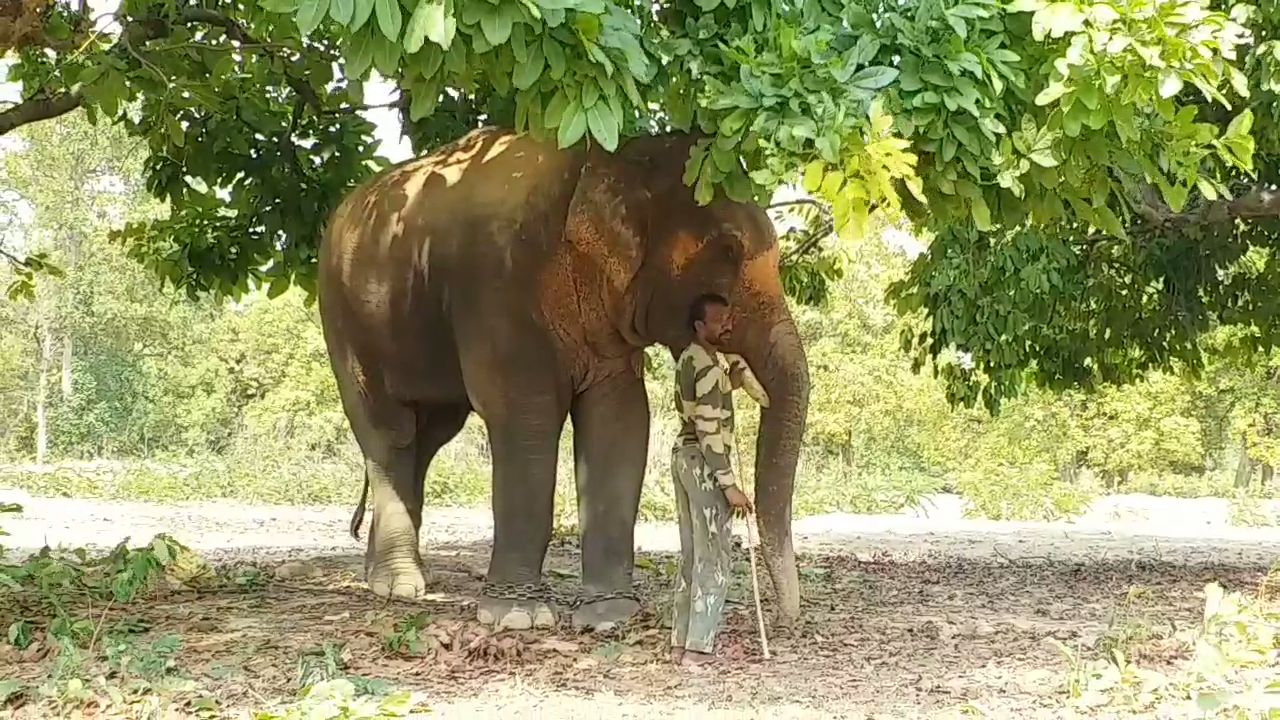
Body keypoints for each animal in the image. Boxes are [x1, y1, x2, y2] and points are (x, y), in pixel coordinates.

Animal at [314, 126, 808, 630]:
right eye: (728, 250)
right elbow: (525, 417)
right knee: (390, 433)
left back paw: (390, 579)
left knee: (428, 436)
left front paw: (611, 614)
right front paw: (517, 616)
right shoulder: (500, 285)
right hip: (346, 323)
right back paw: (397, 586)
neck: (610, 159)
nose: (787, 619)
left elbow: (621, 420)